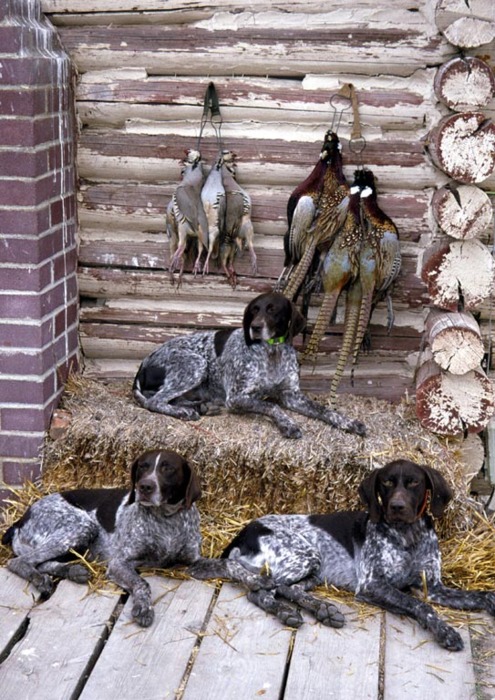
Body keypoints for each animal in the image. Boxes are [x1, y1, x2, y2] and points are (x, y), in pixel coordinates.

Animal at [2, 452, 202, 628]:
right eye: (143, 467)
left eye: (168, 468)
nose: (144, 487)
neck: (167, 520)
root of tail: (19, 520)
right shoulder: (119, 563)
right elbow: (142, 583)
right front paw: (144, 608)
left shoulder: (194, 558)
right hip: (81, 527)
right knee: (19, 562)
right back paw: (39, 579)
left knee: (42, 562)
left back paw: (72, 571)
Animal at [132, 290, 368, 438]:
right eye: (254, 310)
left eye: (273, 310)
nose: (255, 327)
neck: (272, 352)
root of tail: (143, 365)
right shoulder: (237, 397)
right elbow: (271, 405)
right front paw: (288, 424)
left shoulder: (291, 395)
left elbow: (324, 409)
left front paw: (348, 422)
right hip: (195, 363)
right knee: (154, 401)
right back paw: (185, 412)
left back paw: (200, 406)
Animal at [188, 460, 494, 652]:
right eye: (386, 483)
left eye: (414, 483)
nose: (396, 507)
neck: (407, 536)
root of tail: (242, 533)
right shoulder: (372, 584)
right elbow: (419, 605)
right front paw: (444, 631)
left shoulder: (433, 586)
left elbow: (478, 596)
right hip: (304, 554)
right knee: (260, 592)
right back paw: (287, 612)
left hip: (312, 569)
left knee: (289, 589)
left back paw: (323, 609)